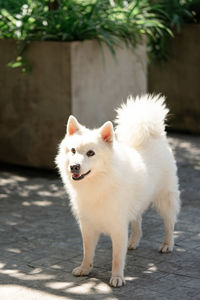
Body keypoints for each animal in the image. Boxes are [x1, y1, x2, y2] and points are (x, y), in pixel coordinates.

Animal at [55, 95, 180, 288]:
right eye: (73, 150)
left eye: (90, 153)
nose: (74, 166)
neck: (99, 183)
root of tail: (154, 135)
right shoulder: (87, 224)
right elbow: (87, 251)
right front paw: (85, 269)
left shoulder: (118, 226)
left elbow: (117, 258)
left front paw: (117, 277)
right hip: (137, 202)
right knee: (137, 220)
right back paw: (134, 242)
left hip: (165, 200)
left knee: (169, 223)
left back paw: (167, 244)